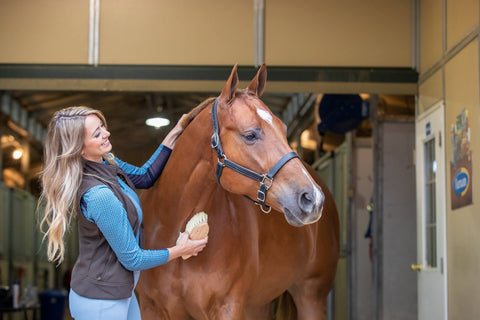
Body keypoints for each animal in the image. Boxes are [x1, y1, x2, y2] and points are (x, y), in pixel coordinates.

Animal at [136, 63, 338, 318]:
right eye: (250, 134)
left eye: (283, 130)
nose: (313, 198)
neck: (172, 225)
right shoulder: (150, 307)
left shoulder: (227, 307)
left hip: (311, 296)